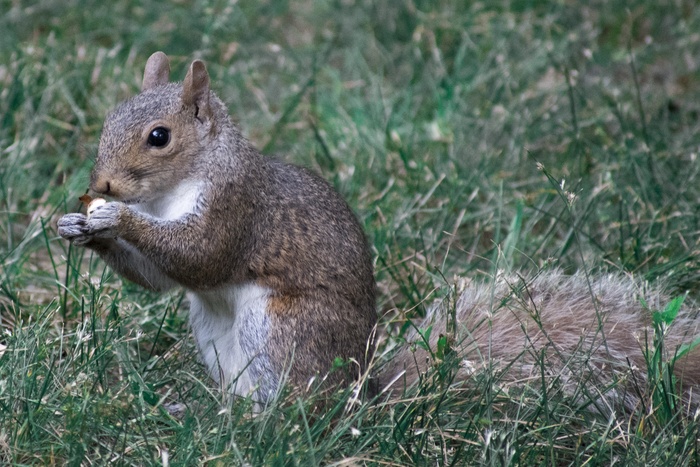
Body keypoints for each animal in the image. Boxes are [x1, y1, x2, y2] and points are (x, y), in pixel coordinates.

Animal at [58, 52, 700, 414]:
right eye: (111, 117)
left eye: (159, 136)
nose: (101, 184)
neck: (175, 188)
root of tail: (359, 391)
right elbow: (159, 281)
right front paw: (77, 225)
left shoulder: (236, 210)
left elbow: (198, 256)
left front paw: (115, 218)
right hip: (215, 334)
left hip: (283, 330)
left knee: (298, 408)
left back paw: (253, 421)